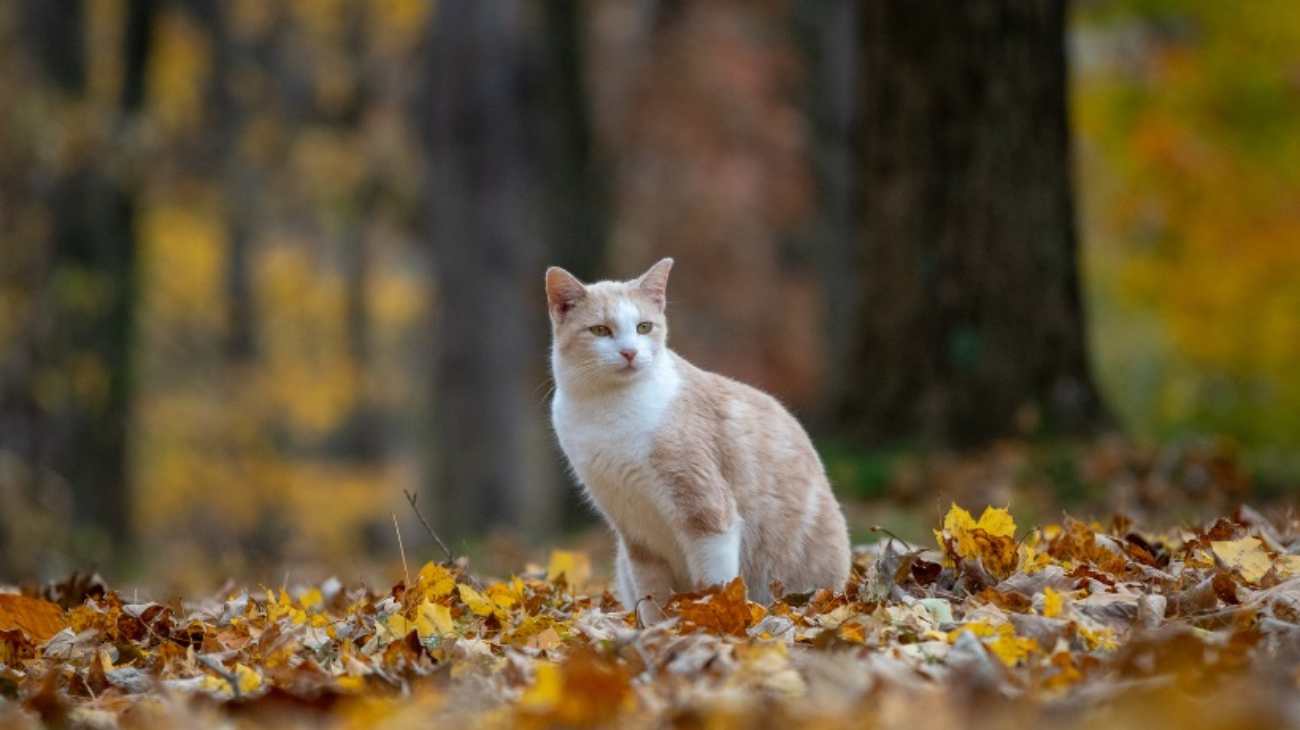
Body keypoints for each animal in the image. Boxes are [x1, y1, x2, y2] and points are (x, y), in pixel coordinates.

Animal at [540, 258, 852, 615]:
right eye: (600, 330)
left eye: (644, 327)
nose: (630, 353)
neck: (606, 406)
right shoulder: (634, 532)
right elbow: (652, 598)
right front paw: (658, 628)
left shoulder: (706, 513)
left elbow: (714, 586)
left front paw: (710, 618)